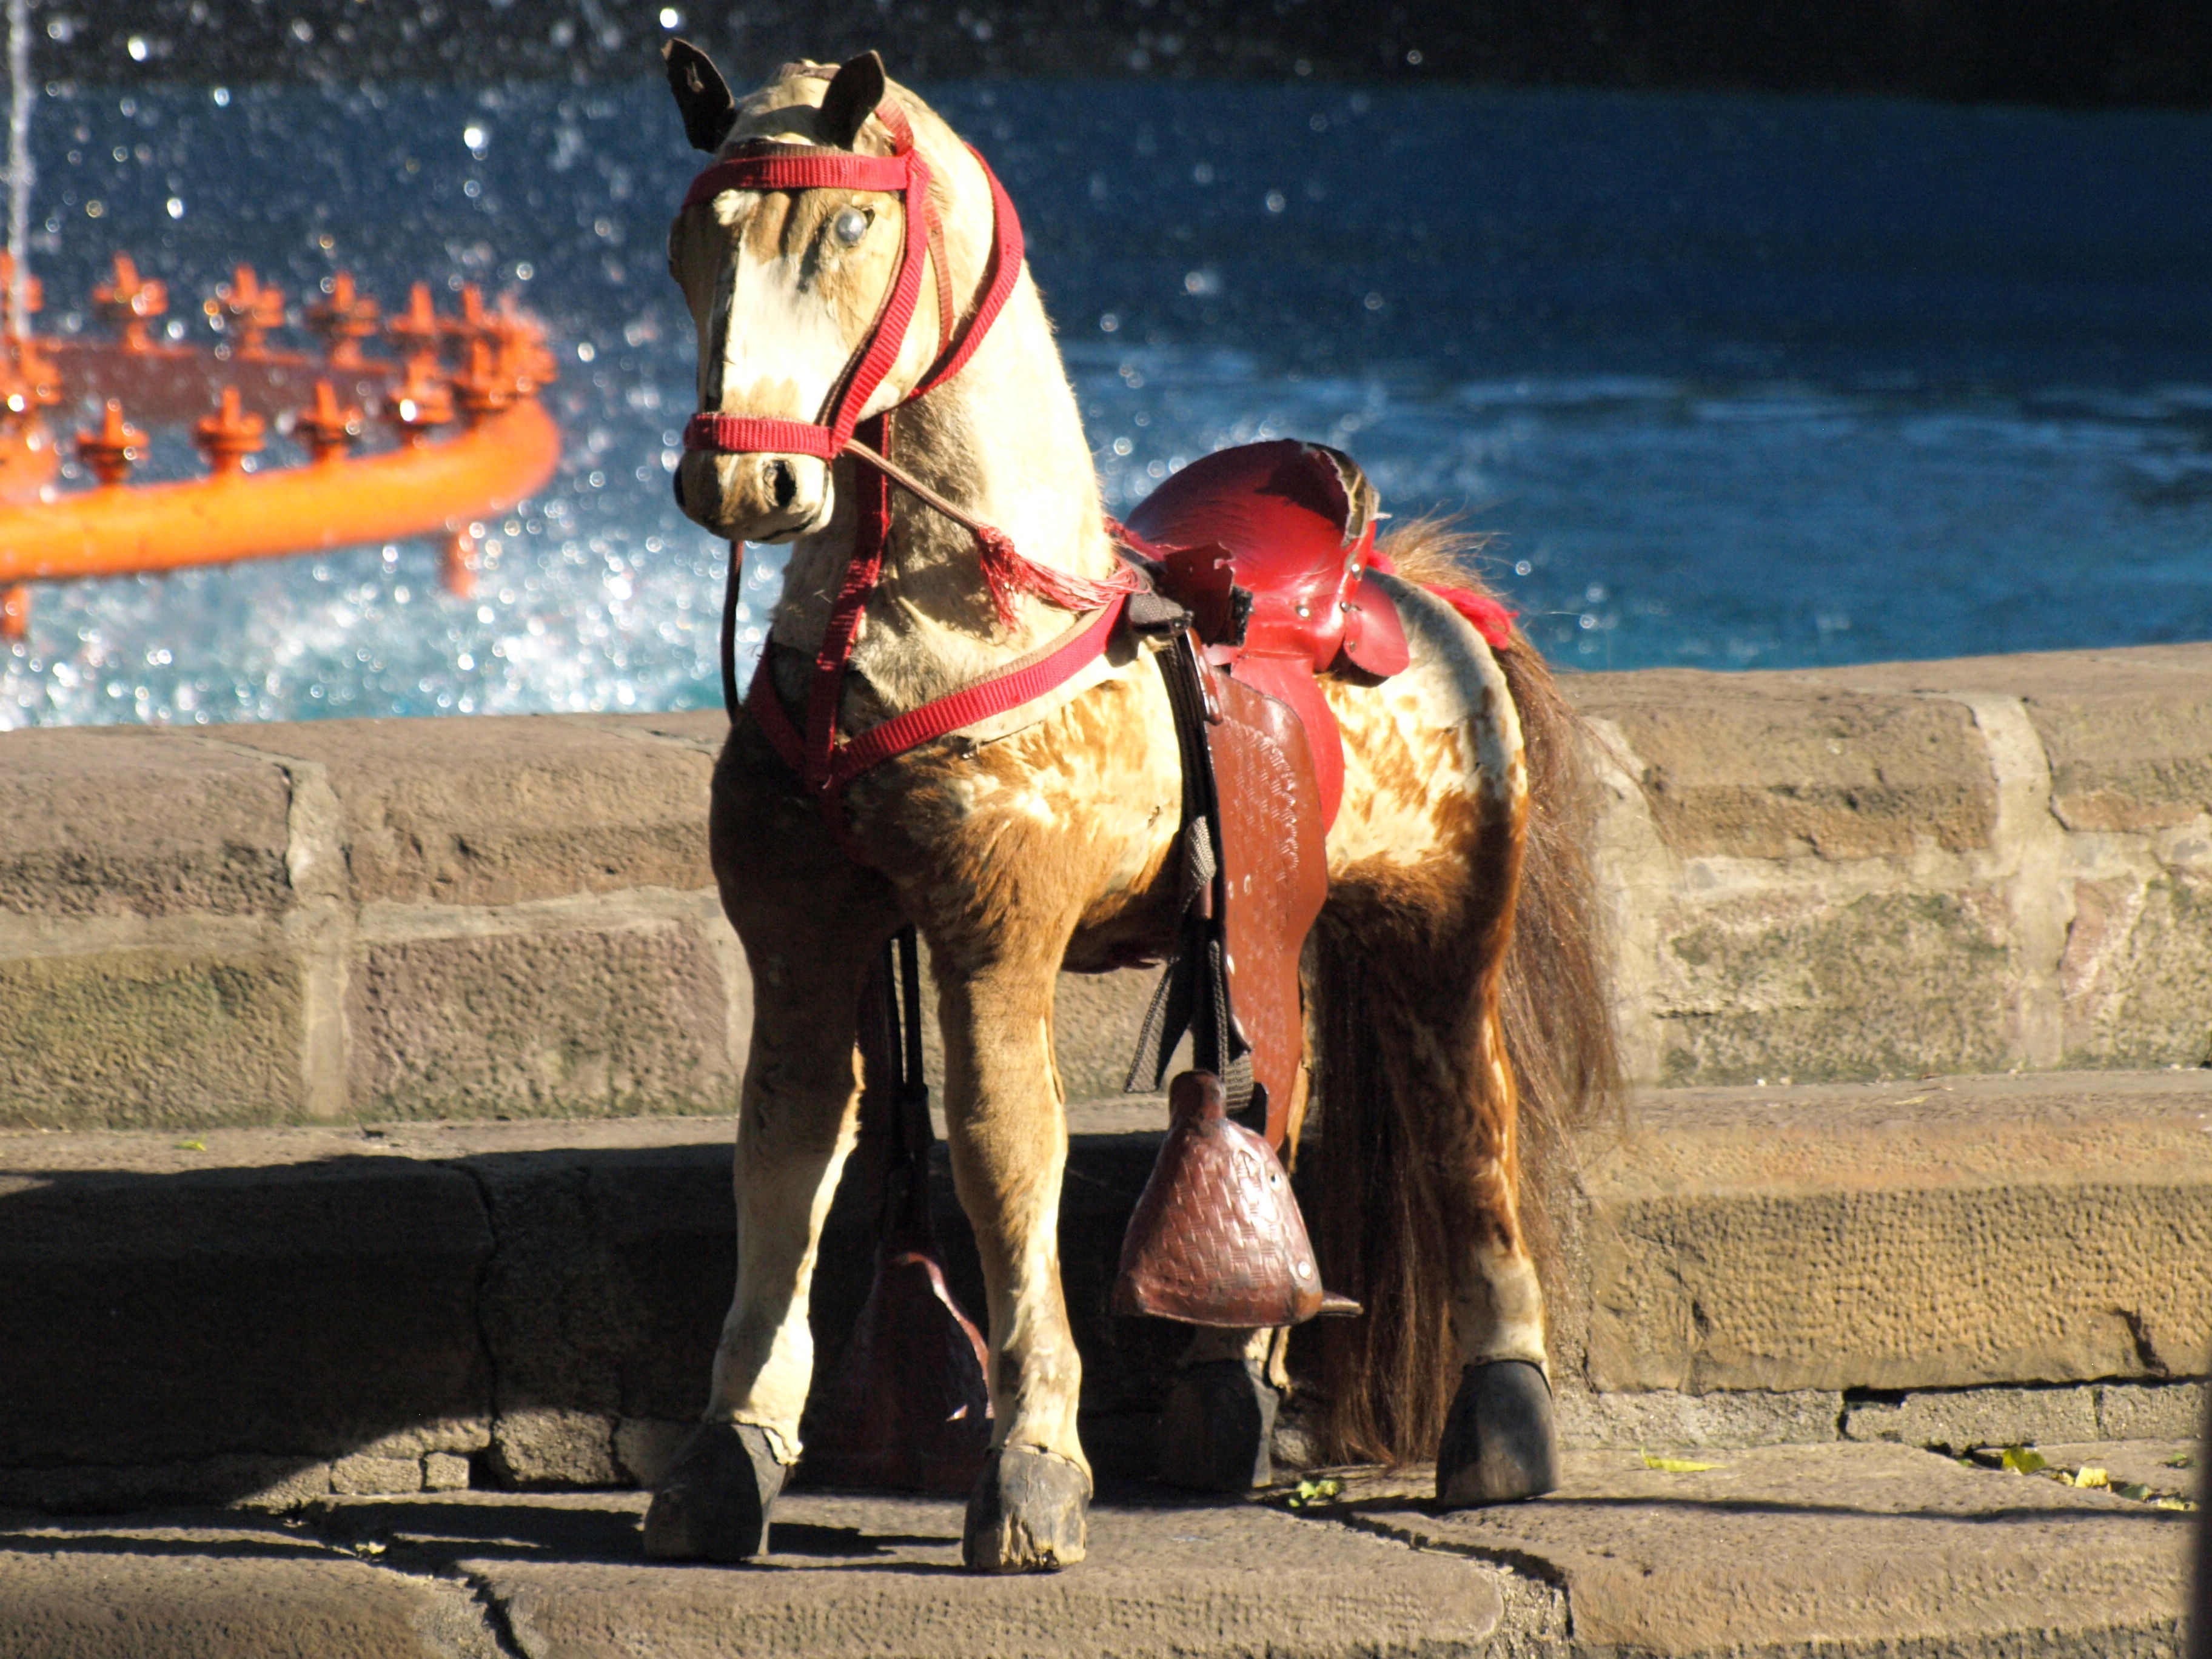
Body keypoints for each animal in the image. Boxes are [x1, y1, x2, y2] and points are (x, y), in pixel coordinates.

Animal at [646, 49, 1619, 1575]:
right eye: (696, 230)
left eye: (852, 226)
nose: (745, 477)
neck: (939, 613)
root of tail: (1418, 588)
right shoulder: (803, 942)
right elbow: (787, 1156)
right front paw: (725, 1457)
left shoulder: (998, 942)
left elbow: (1006, 1153)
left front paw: (1032, 1470)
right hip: (1274, 928)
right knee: (1273, 1097)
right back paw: (1228, 1394)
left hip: (1445, 933)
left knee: (1470, 1117)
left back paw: (1501, 1424)